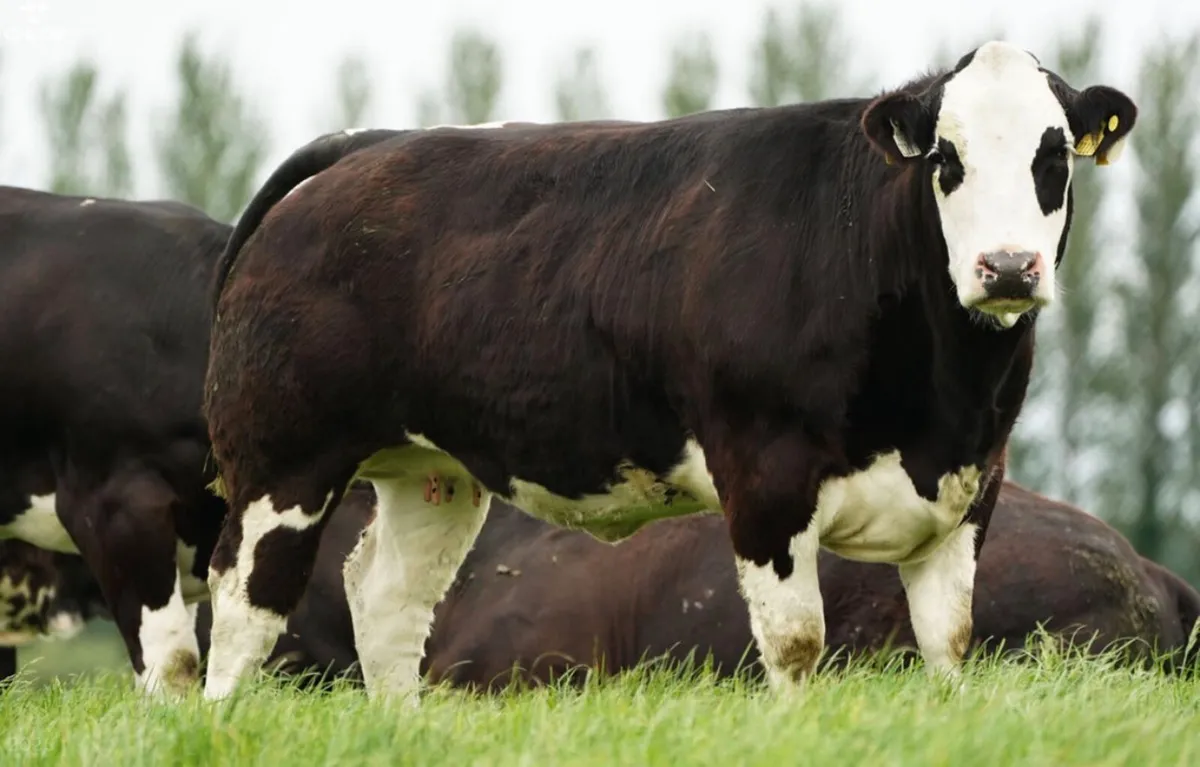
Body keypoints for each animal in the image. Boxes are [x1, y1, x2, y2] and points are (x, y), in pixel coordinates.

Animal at [200, 40, 1138, 702]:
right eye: (946, 158)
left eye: (1055, 158)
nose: (1008, 267)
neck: (933, 404)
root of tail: (369, 145)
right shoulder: (765, 475)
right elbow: (796, 643)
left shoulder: (971, 485)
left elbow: (949, 641)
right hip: (282, 459)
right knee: (243, 600)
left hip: (431, 471)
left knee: (388, 601)